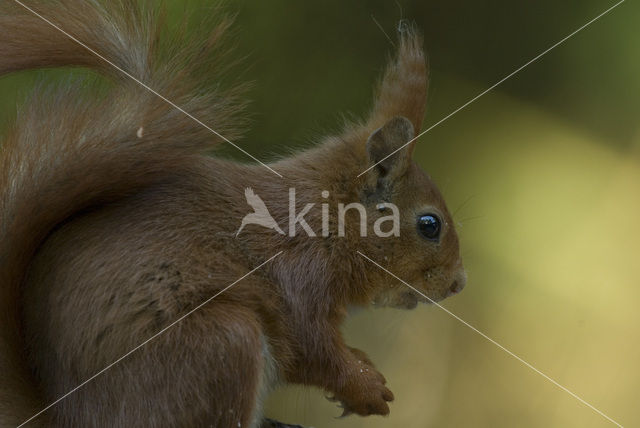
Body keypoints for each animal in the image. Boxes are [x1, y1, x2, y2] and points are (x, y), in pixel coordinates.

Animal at [0, 0, 464, 428]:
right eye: (430, 225)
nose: (458, 284)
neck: (328, 217)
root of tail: (66, 415)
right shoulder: (300, 271)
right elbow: (311, 347)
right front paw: (365, 387)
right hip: (223, 345)